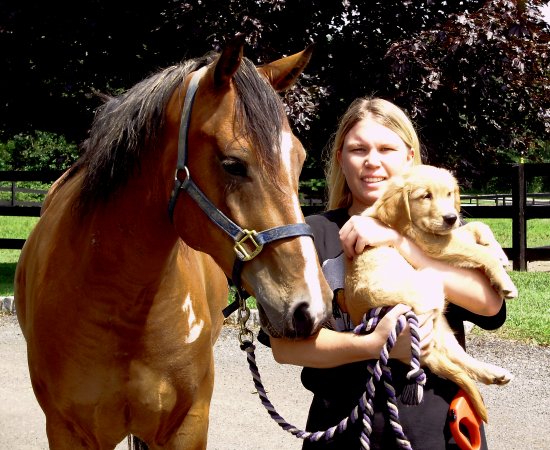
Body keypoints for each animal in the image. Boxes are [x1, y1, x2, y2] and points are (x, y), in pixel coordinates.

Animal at [15, 36, 334, 450]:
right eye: (233, 164)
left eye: (298, 160)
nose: (311, 307)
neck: (124, 311)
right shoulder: (67, 432)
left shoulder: (188, 426)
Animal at [344, 164, 516, 422]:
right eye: (425, 196)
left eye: (449, 194)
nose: (451, 217)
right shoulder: (434, 243)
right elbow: (478, 250)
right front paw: (504, 280)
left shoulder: (445, 235)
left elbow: (477, 226)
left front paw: (500, 253)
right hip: (430, 285)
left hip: (440, 326)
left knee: (458, 358)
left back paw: (492, 373)